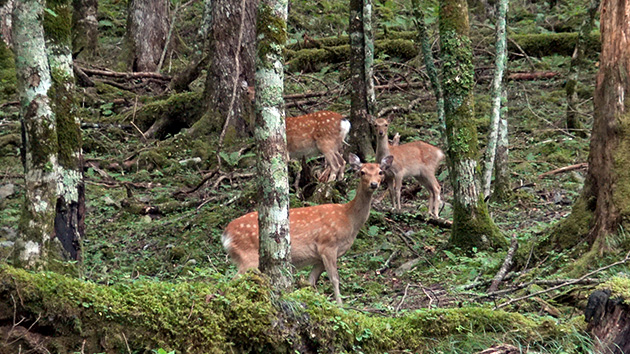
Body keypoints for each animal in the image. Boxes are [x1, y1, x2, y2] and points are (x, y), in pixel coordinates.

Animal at [221, 153, 390, 304]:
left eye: (380, 172)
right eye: (362, 172)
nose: (374, 184)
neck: (348, 219)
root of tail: (226, 234)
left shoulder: (318, 257)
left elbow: (310, 281)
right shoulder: (327, 245)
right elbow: (335, 279)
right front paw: (341, 306)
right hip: (247, 255)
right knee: (230, 281)